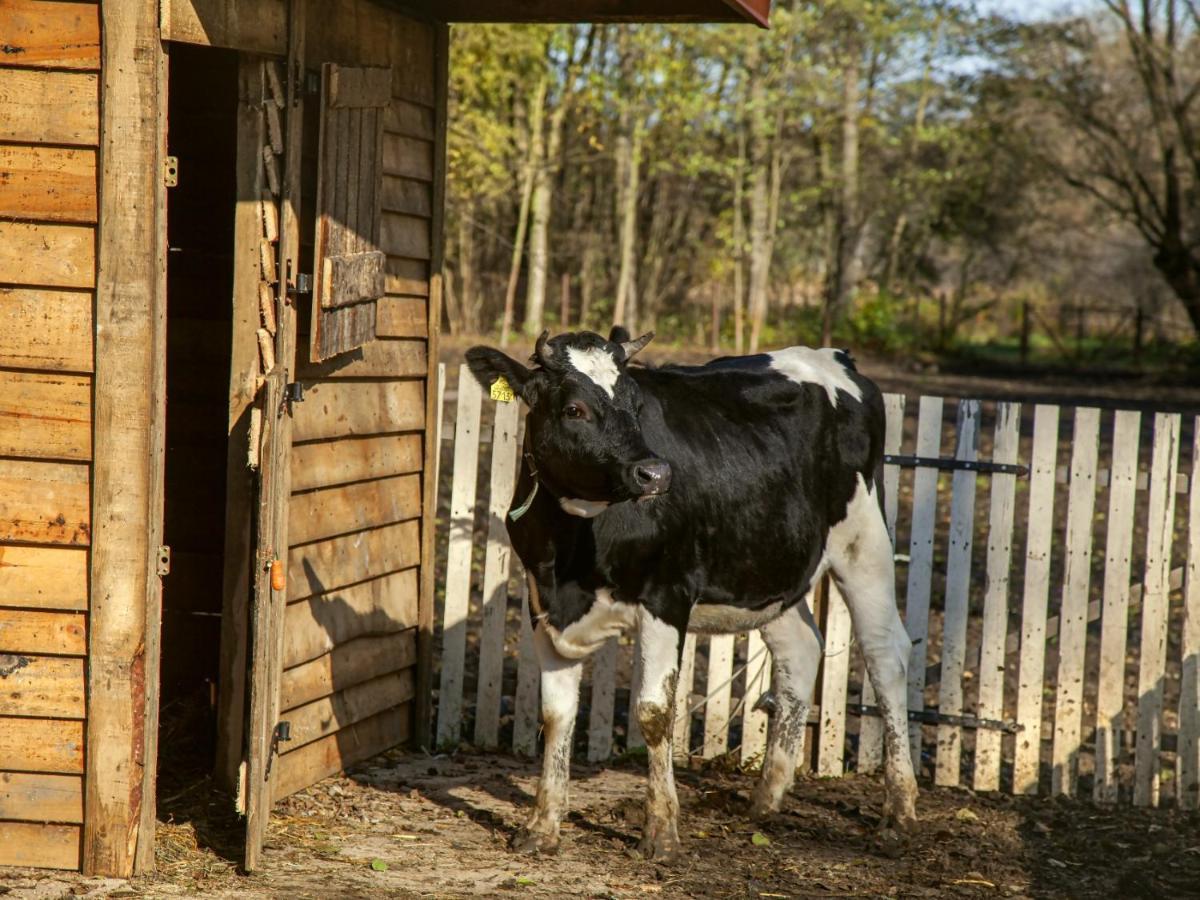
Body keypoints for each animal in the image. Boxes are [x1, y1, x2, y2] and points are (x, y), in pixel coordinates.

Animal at [468, 328, 916, 859]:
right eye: (574, 409)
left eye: (637, 403)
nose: (655, 474)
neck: (572, 555)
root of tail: (833, 356)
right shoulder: (543, 603)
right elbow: (556, 716)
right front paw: (541, 826)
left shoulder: (666, 596)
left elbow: (654, 712)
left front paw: (661, 831)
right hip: (767, 566)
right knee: (801, 649)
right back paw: (768, 797)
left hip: (863, 541)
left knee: (886, 655)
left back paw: (899, 811)